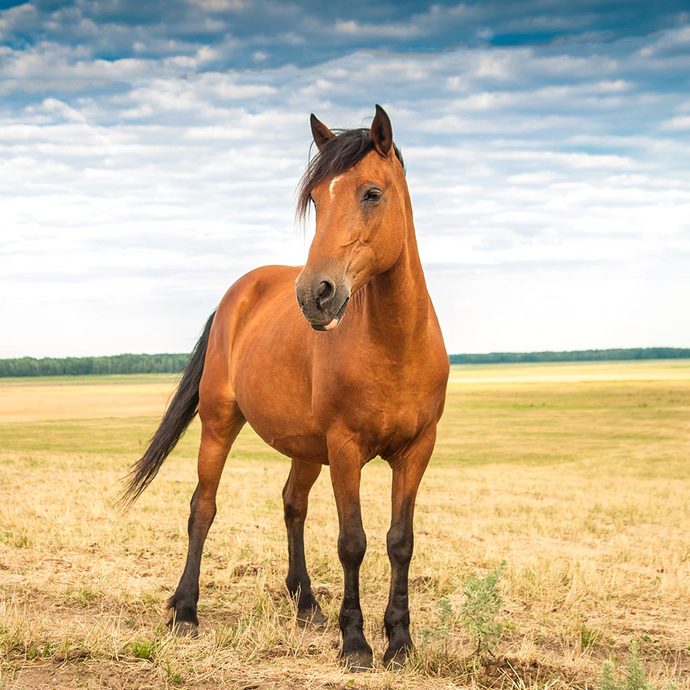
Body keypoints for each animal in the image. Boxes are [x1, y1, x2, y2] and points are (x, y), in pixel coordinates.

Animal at [122, 105, 449, 671]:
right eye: (315, 199)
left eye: (371, 193)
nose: (315, 294)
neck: (396, 342)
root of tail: (237, 294)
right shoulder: (345, 449)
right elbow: (353, 541)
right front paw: (356, 643)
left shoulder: (416, 450)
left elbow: (400, 541)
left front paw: (400, 642)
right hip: (220, 424)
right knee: (202, 508)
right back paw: (186, 611)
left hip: (306, 447)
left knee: (293, 504)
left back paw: (306, 604)